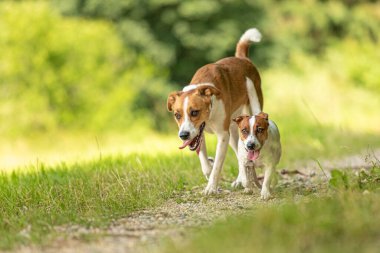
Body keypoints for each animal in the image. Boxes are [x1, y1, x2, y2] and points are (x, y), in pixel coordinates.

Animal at [166, 28, 264, 194]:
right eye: (177, 115)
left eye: (194, 112)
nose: (183, 135)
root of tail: (243, 59)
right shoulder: (199, 134)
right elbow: (205, 163)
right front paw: (209, 166)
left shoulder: (223, 136)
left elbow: (218, 165)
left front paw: (211, 187)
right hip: (234, 131)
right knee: (239, 152)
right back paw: (241, 179)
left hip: (250, 109)